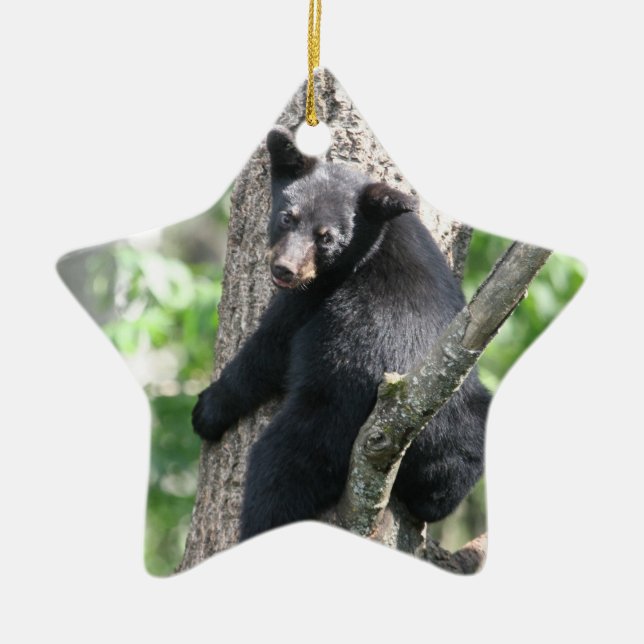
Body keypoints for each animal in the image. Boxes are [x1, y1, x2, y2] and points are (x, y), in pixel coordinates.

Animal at [192, 125, 491, 541]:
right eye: (287, 217)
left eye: (326, 237)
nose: (284, 269)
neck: (374, 239)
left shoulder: (315, 294)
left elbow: (269, 347)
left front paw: (208, 408)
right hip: (467, 423)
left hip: (328, 418)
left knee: (280, 471)